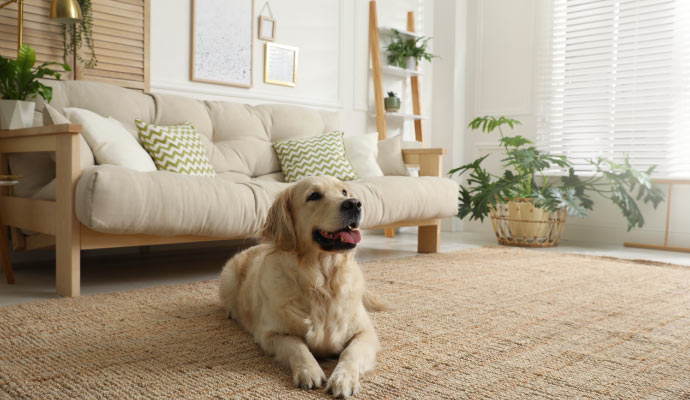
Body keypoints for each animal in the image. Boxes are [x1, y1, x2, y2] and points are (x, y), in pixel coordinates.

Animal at [219, 175, 384, 396]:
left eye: (344, 192)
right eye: (314, 196)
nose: (355, 204)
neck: (322, 283)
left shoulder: (366, 333)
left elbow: (350, 353)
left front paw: (343, 378)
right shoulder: (271, 334)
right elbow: (297, 346)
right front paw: (309, 371)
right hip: (228, 276)